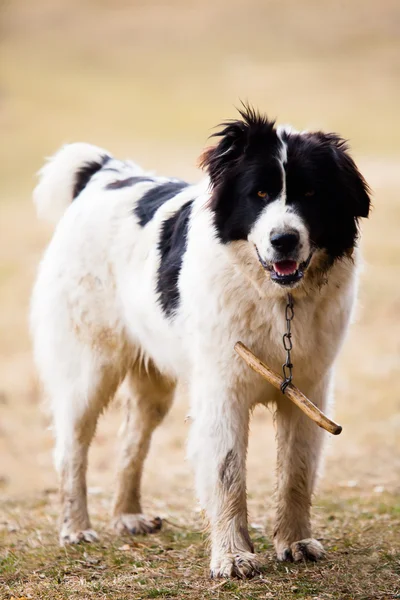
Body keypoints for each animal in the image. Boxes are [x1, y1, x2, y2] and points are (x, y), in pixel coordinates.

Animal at [29, 106, 370, 576]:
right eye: (259, 193)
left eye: (311, 193)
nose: (284, 239)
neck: (277, 300)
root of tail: (104, 173)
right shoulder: (222, 392)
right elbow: (228, 474)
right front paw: (232, 555)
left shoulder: (308, 392)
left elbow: (296, 472)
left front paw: (295, 541)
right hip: (88, 371)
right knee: (71, 449)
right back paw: (76, 528)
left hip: (153, 386)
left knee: (131, 441)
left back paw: (128, 516)